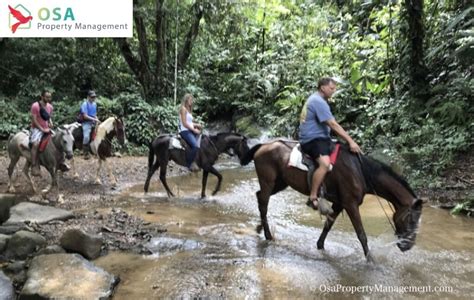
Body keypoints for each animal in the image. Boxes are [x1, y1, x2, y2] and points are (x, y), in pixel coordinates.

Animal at [243, 139, 424, 262]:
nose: (408, 245)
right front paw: (371, 260)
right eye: (412, 219)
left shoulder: (339, 204)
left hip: (280, 183)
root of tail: (263, 146)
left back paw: (260, 228)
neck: (361, 171)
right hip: (268, 181)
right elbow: (361, 234)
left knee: (260, 197)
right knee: (264, 202)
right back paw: (267, 235)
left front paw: (320, 246)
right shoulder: (351, 204)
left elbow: (328, 226)